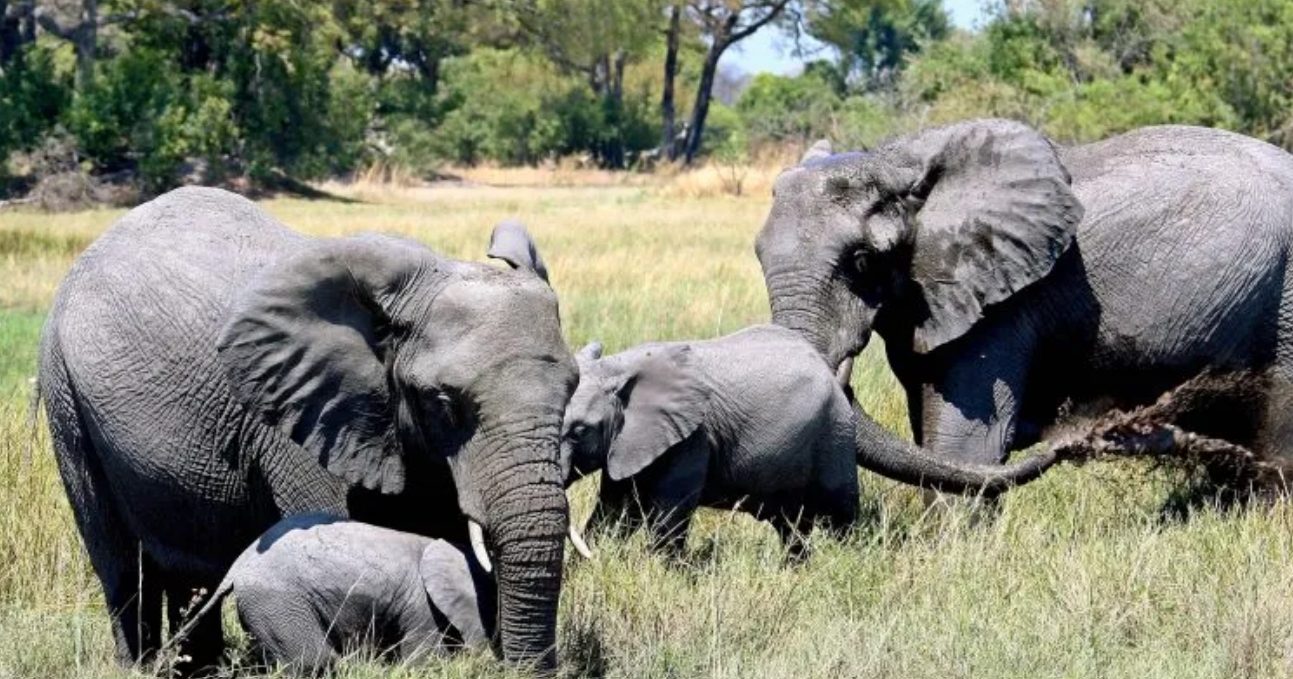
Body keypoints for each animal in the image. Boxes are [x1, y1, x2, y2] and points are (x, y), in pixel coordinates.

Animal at [561, 324, 863, 556]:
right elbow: (616, 508)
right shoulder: (627, 443)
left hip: (835, 431)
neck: (617, 367)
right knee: (791, 525)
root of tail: (827, 369)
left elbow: (669, 514)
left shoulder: (692, 438)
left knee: (839, 514)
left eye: (580, 431)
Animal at [755, 120, 1293, 465]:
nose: (1093, 437)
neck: (897, 160)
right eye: (758, 255)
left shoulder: (1003, 307)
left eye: (862, 261)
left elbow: (963, 447)